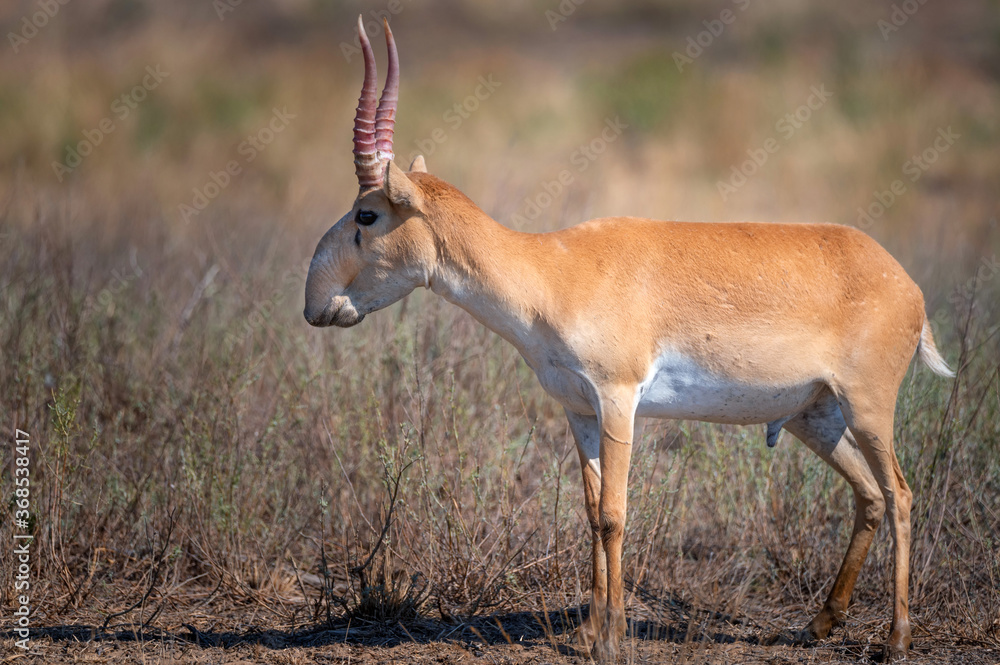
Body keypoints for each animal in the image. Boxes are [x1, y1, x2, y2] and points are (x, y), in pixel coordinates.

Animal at [304, 17, 954, 662]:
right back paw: (819, 625)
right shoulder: (578, 410)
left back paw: (897, 639)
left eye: (367, 215)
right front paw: (590, 632)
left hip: (867, 407)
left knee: (900, 494)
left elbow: (616, 514)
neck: (551, 270)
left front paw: (613, 637)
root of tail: (906, 285)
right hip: (813, 416)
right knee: (870, 496)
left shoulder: (618, 399)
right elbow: (592, 514)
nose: (315, 305)